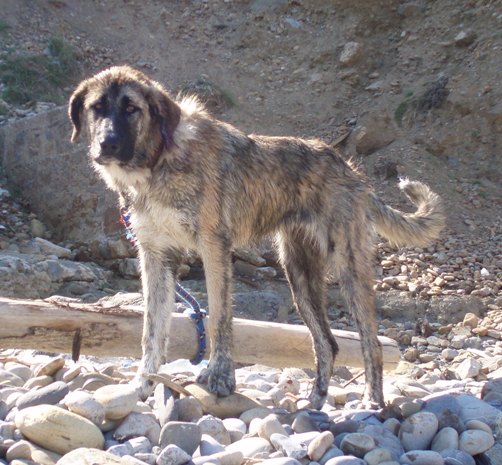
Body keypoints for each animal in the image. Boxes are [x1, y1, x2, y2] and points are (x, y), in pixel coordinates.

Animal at [67, 65, 444, 406]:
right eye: (97, 108)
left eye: (132, 108)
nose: (107, 144)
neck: (159, 161)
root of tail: (350, 170)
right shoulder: (156, 258)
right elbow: (152, 332)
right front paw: (142, 385)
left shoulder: (214, 249)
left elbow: (219, 318)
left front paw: (219, 378)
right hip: (300, 277)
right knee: (327, 343)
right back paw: (315, 402)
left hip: (349, 271)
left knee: (372, 343)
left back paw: (372, 402)